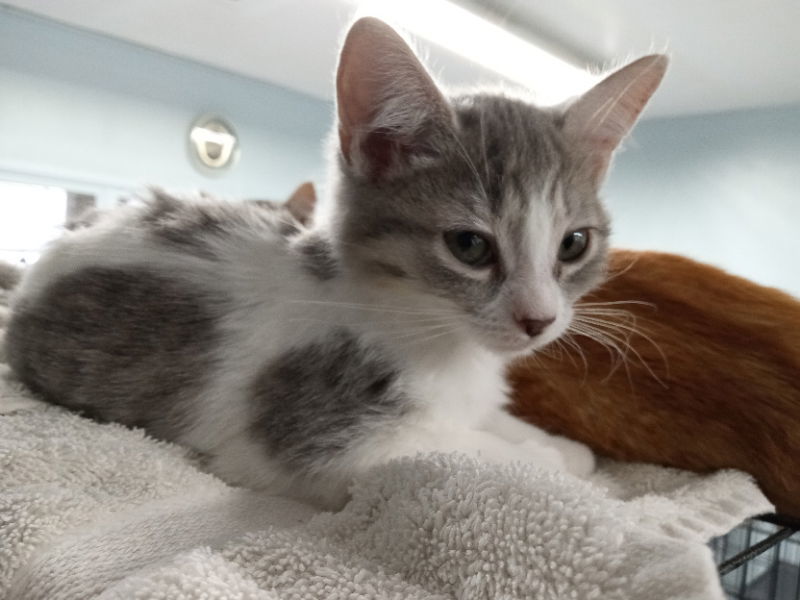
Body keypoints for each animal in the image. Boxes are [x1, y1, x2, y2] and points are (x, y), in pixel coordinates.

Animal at [6, 18, 664, 506]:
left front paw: (561, 445)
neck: (431, 335)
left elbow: (485, 419)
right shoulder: (311, 432)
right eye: (470, 246)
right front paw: (552, 464)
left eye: (573, 244)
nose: (539, 320)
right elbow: (457, 451)